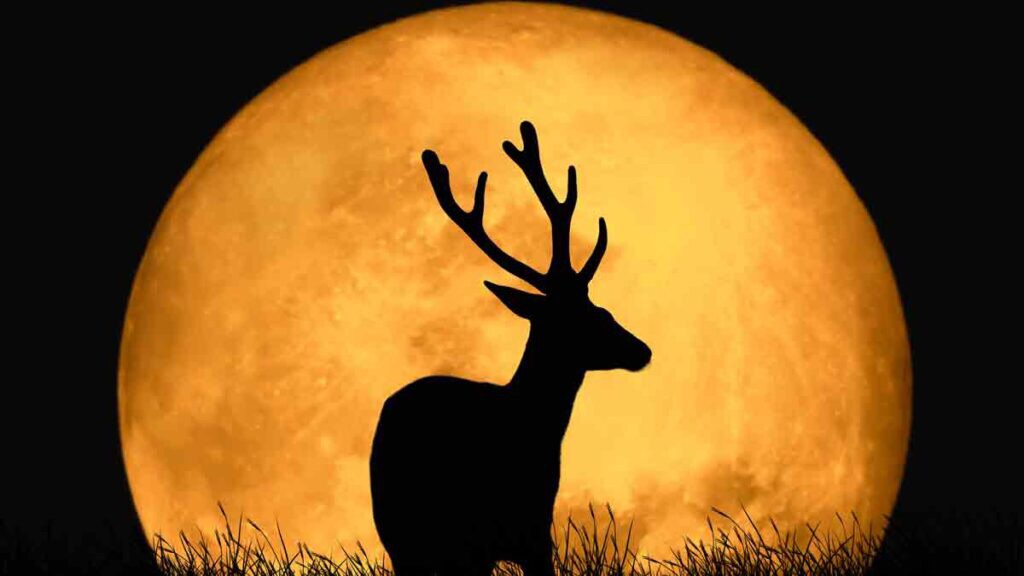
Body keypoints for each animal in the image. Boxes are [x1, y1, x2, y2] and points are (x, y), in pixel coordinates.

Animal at [369, 121, 651, 576]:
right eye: (593, 316)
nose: (641, 349)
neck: (527, 427)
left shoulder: (524, 536)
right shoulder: (515, 537)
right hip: (409, 540)